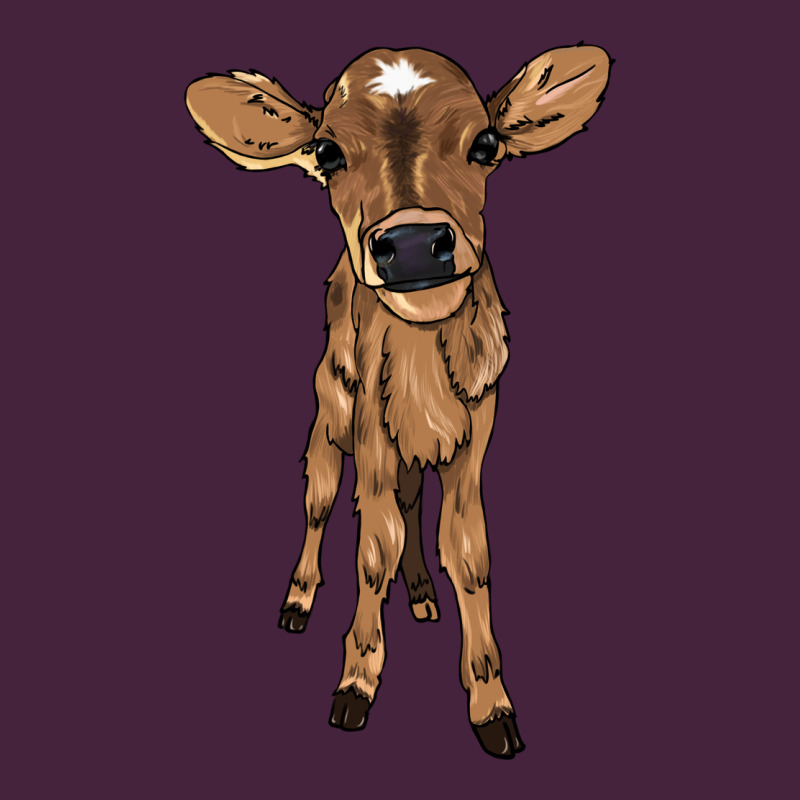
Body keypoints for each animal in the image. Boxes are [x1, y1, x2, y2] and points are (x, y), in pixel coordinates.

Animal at [185, 44, 611, 758]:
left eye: (486, 144)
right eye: (327, 152)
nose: (412, 245)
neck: (421, 369)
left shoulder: (472, 443)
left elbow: (468, 554)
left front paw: (491, 703)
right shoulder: (371, 438)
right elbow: (371, 550)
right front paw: (356, 683)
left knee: (413, 505)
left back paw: (419, 593)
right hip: (331, 410)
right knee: (321, 498)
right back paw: (299, 600)